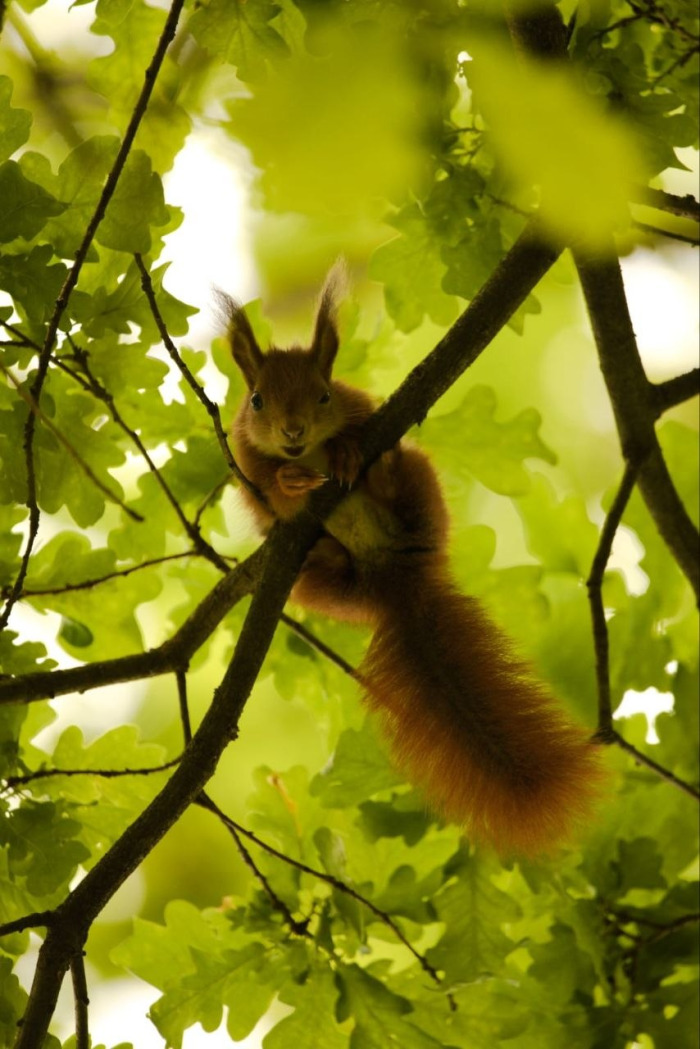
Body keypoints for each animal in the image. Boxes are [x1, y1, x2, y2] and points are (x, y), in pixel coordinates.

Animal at [221, 266, 604, 857]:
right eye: (257, 401)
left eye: (324, 395)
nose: (293, 433)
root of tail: (392, 579)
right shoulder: (248, 469)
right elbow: (272, 493)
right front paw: (289, 478)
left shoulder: (361, 406)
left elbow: (356, 430)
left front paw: (346, 450)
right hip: (318, 587)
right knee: (325, 569)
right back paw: (327, 547)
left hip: (424, 497)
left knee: (405, 483)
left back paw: (378, 471)